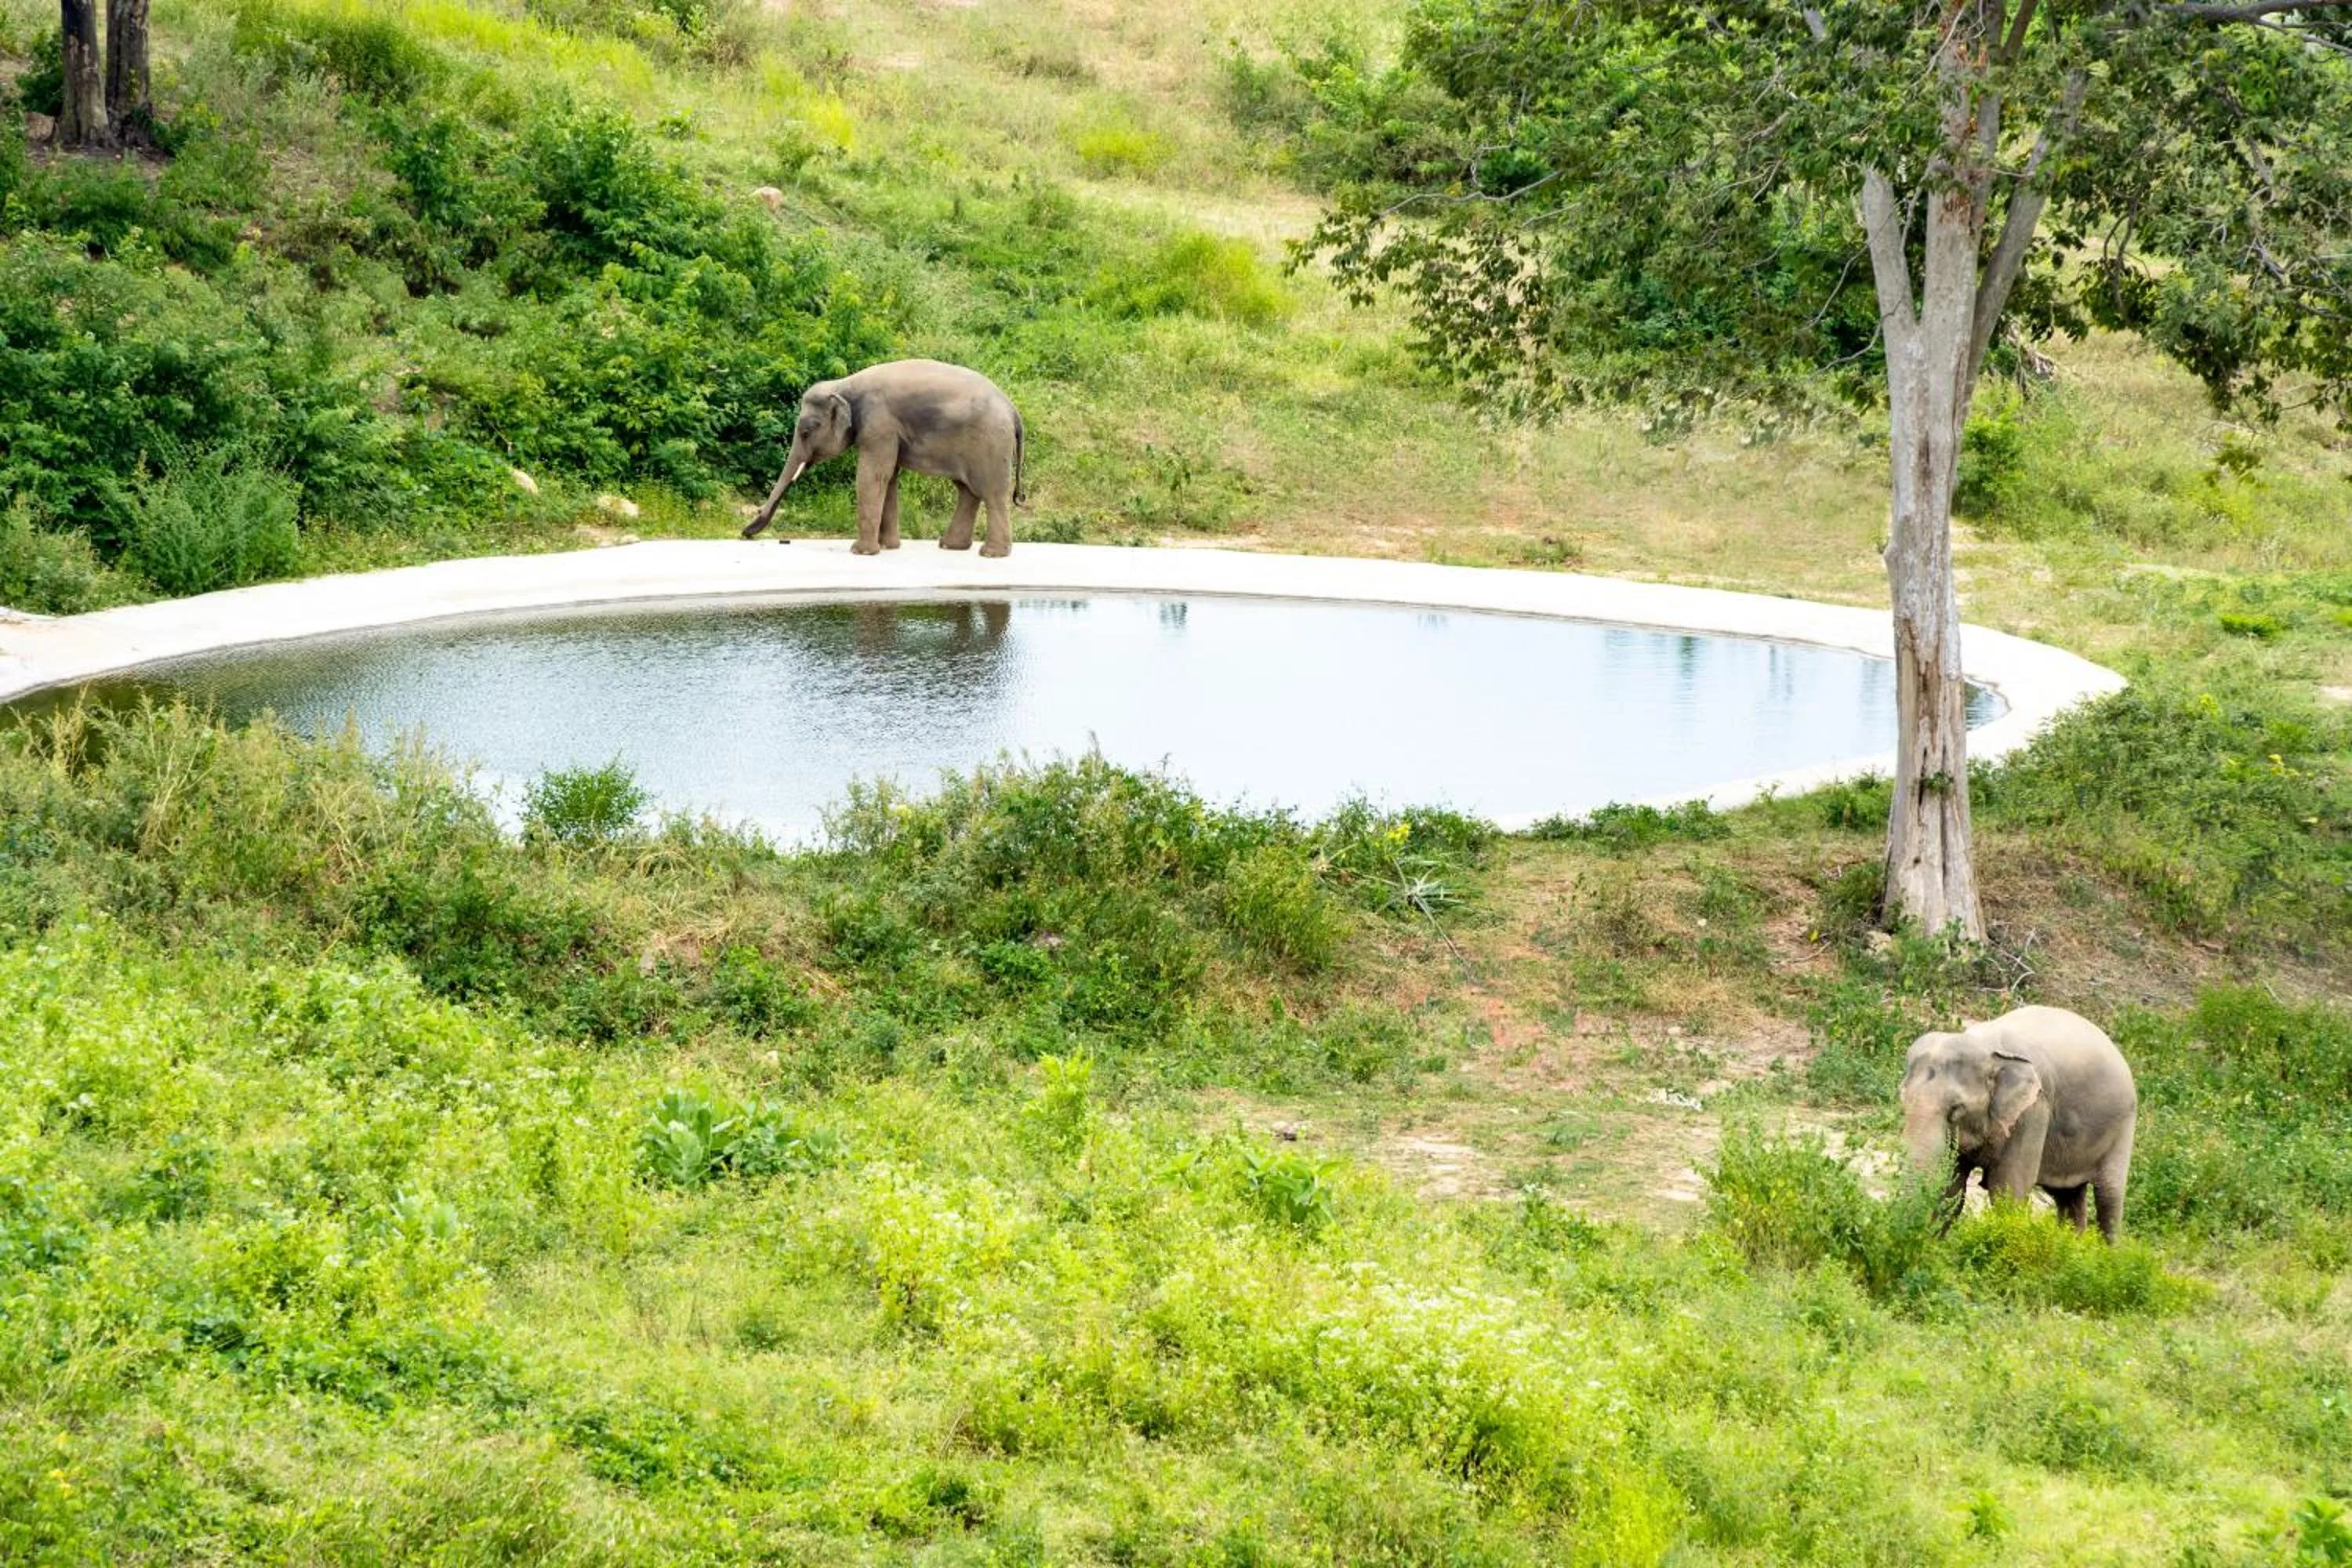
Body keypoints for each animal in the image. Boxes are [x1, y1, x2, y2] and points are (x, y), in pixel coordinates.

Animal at [741, 359, 1026, 557]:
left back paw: (991, 554)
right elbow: (888, 479)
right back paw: (950, 546)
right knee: (968, 491)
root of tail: (1013, 410)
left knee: (991, 493)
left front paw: (861, 552)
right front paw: (888, 548)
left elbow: (872, 476)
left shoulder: (879, 423)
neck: (843, 384)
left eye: (806, 432)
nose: (745, 533)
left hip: (991, 444)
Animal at [1899, 1005, 2138, 1240]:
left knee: (2108, 1197)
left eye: (1957, 1108)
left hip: (2123, 1127)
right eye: (1902, 1099)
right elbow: (1952, 1187)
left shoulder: (2033, 1111)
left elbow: (2008, 1188)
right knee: (2068, 1197)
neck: (1985, 1046)